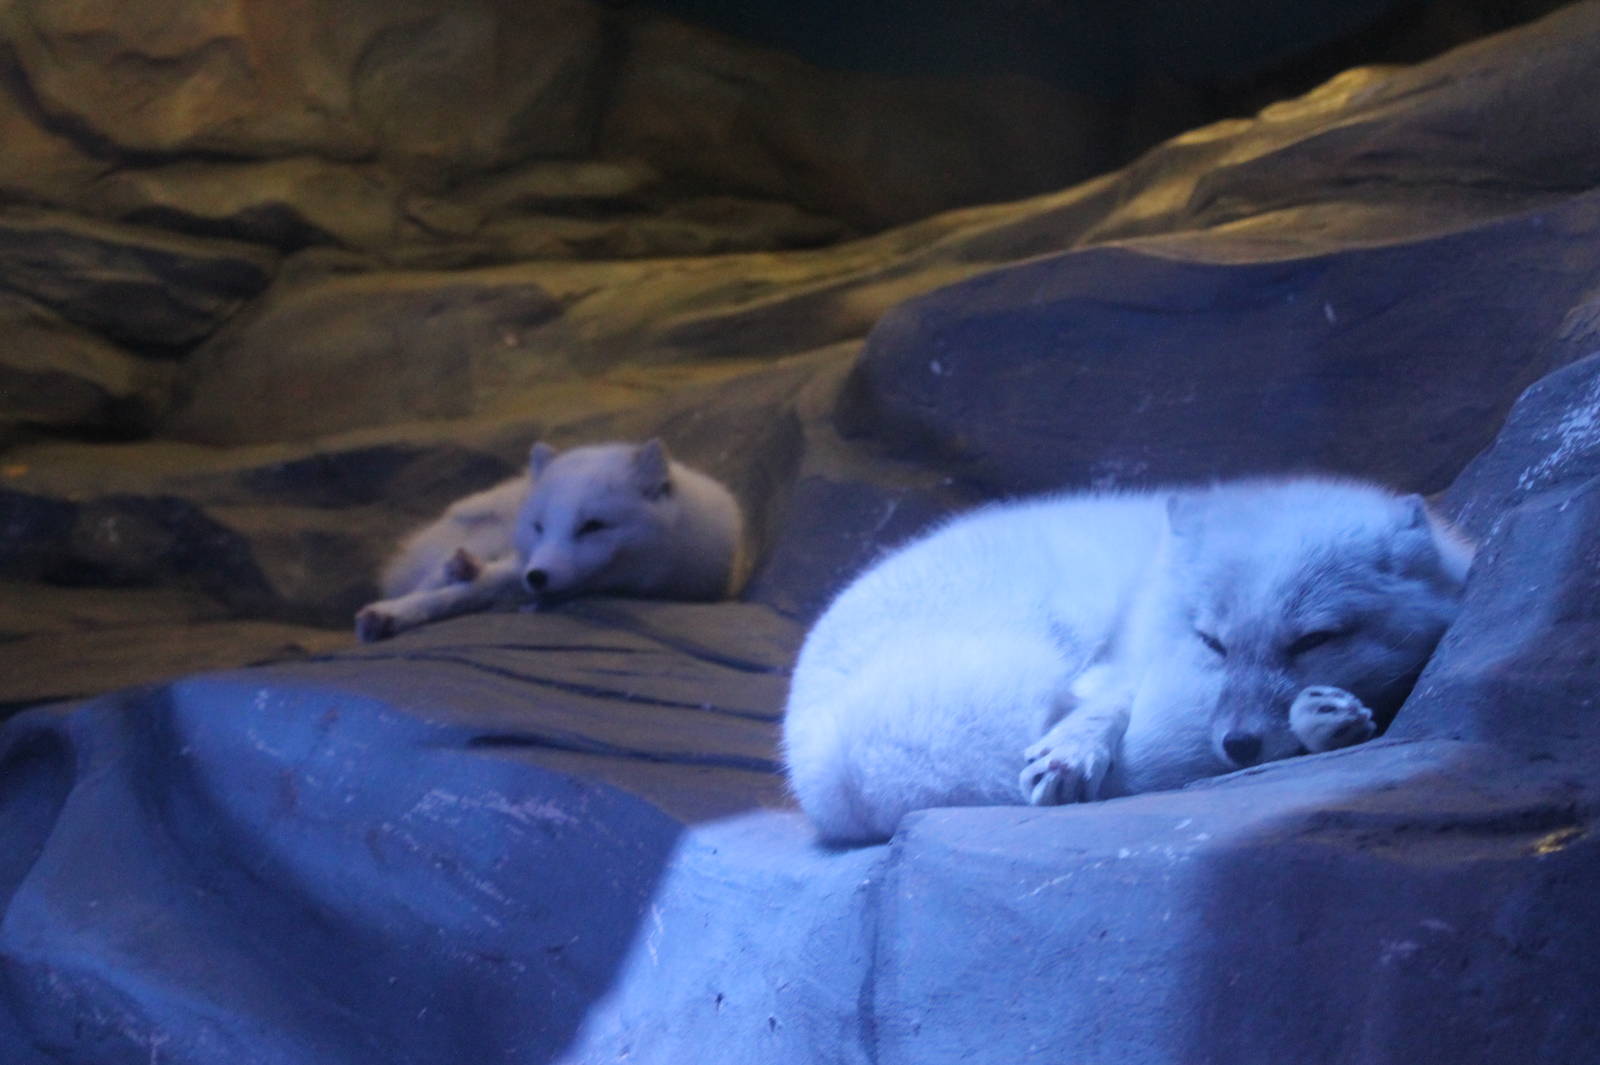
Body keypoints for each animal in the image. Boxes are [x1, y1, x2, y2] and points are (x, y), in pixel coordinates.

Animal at [355, 439, 747, 642]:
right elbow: (453, 593)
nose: (537, 576)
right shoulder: (522, 563)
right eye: (540, 526)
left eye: (592, 526)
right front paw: (390, 614)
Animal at [782, 476, 1473, 844]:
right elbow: (1105, 704)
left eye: (1313, 640)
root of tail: (822, 764)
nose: (1239, 746)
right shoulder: (1118, 665)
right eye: (1211, 642)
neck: (1154, 591)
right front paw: (1069, 753)